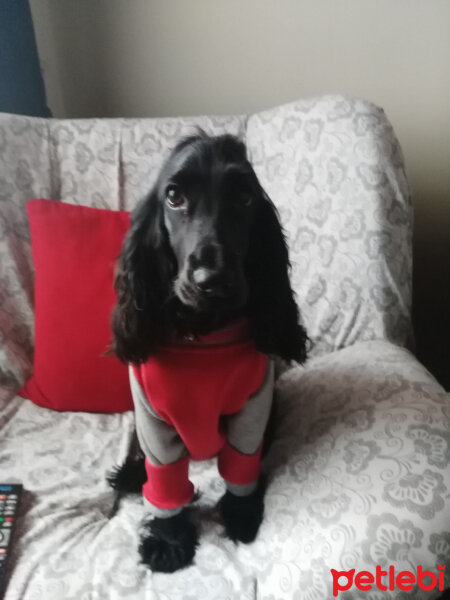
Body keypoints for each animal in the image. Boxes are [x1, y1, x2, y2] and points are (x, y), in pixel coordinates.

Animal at [109, 131, 308, 572]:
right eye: (174, 196)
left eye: (245, 198)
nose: (211, 279)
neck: (203, 336)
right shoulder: (153, 421)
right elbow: (165, 484)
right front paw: (168, 542)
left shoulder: (252, 409)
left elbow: (241, 468)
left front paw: (242, 515)